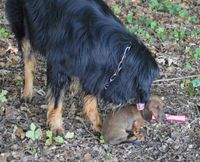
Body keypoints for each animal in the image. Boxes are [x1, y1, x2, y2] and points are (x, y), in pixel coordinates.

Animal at [5, 0, 159, 134]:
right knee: (29, 61)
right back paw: (27, 92)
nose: (147, 101)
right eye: (147, 83)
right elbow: (56, 101)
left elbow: (91, 99)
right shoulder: (59, 65)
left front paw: (97, 124)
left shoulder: (94, 70)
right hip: (22, 24)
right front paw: (56, 125)